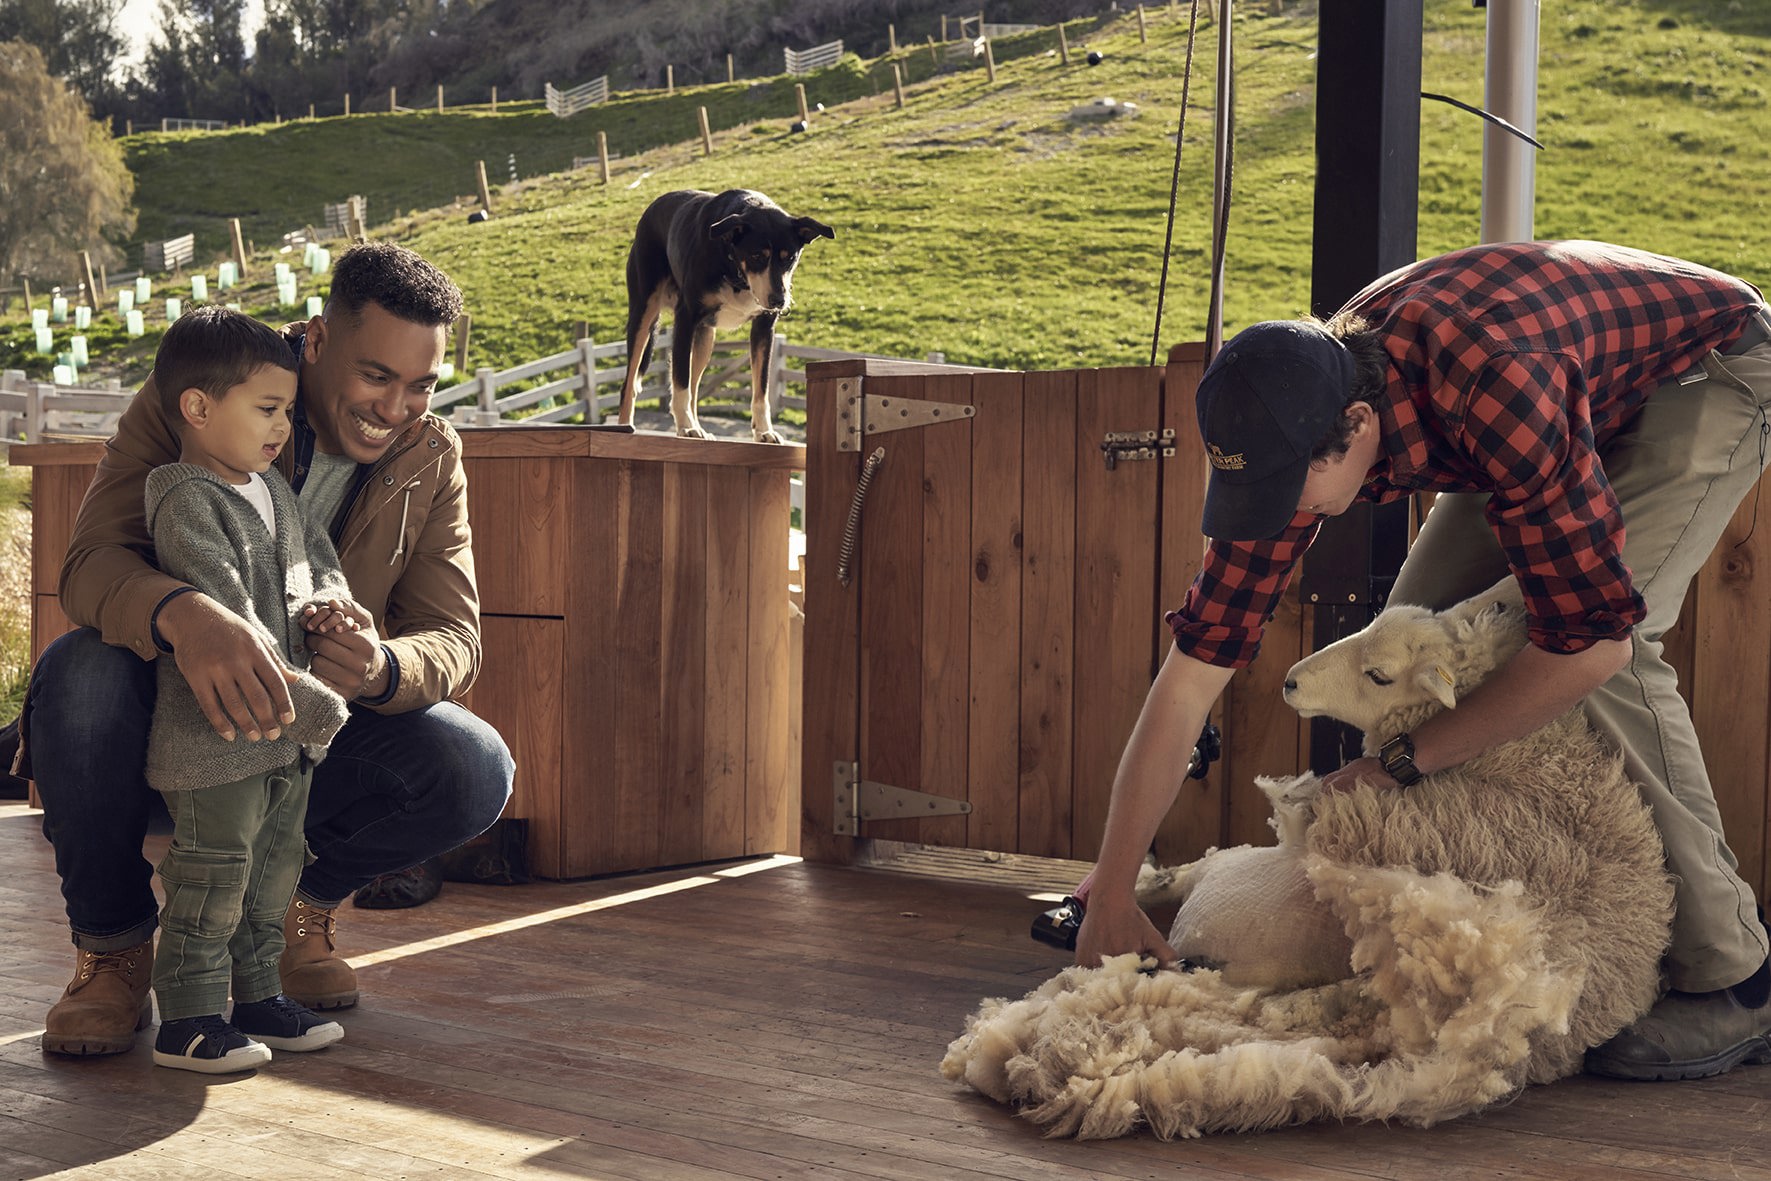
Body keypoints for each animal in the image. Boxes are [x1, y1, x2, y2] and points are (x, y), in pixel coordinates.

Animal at [616, 189, 835, 442]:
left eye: (789, 257)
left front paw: (764, 430)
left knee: (694, 386)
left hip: (704, 338)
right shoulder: (685, 320)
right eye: (757, 255)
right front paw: (685, 427)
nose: (779, 300)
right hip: (643, 313)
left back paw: (698, 426)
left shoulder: (763, 328)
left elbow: (761, 389)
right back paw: (625, 426)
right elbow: (680, 383)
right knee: (630, 383)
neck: (736, 272)